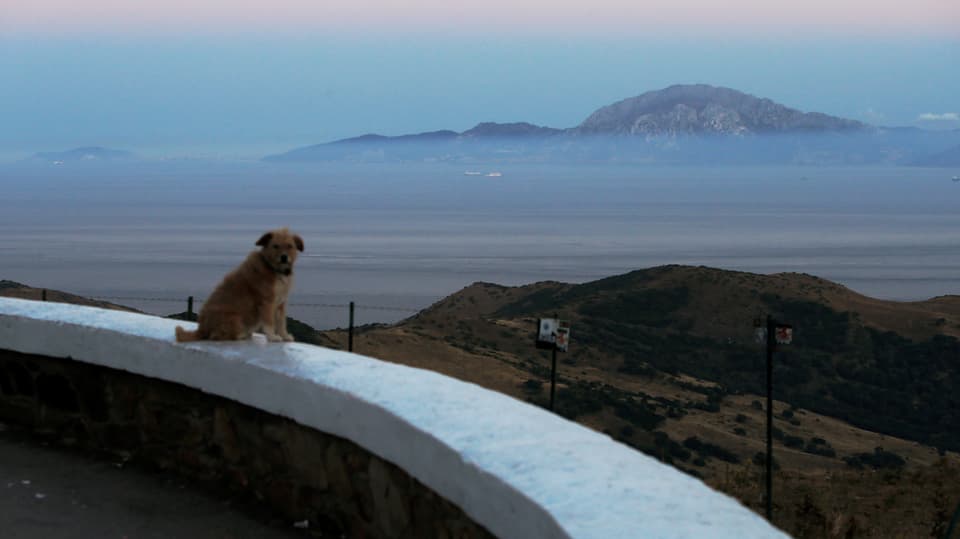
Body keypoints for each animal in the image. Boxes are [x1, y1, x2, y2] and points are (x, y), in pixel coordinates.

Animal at [175, 228, 304, 342]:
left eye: (290, 246)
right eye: (275, 246)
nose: (284, 257)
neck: (273, 268)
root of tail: (202, 329)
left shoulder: (281, 304)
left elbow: (282, 322)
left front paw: (285, 335)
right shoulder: (267, 302)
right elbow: (269, 322)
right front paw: (272, 337)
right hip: (234, 318)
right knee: (217, 336)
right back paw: (241, 335)